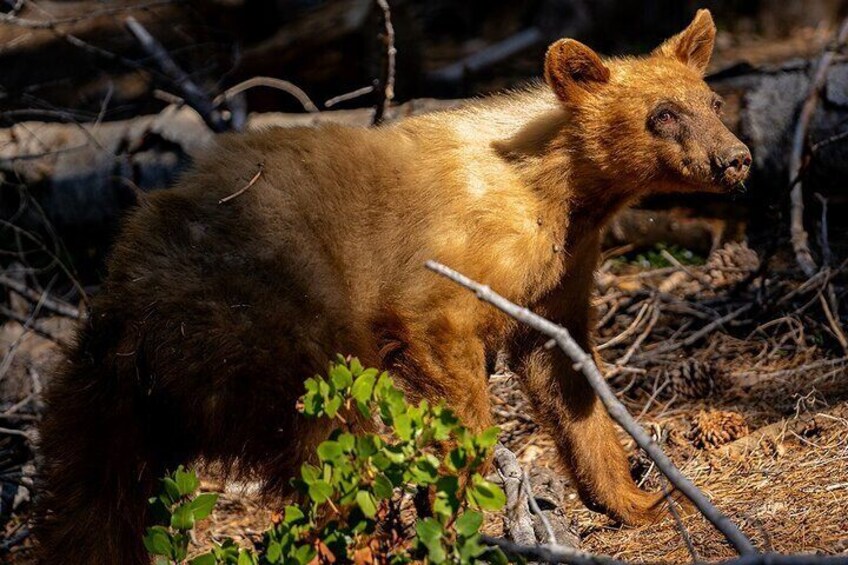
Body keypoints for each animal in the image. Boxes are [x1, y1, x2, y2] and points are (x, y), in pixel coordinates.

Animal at [36, 9, 748, 564]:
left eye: (713, 103)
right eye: (663, 115)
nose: (736, 158)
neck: (556, 187)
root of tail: (128, 309)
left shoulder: (557, 275)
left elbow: (570, 382)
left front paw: (639, 498)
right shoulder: (450, 270)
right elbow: (446, 354)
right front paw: (465, 493)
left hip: (103, 404)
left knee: (90, 501)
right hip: (271, 329)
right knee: (329, 445)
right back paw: (364, 538)